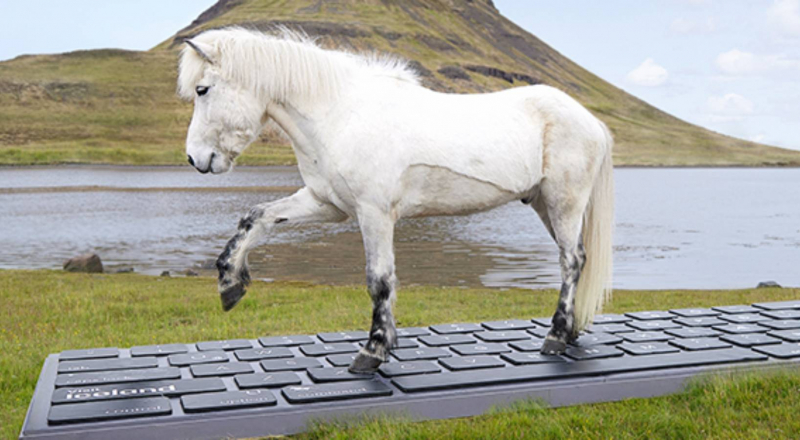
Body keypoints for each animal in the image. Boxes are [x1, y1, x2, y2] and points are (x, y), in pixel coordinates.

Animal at [178, 28, 614, 373]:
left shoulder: (374, 214)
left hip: (564, 202)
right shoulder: (326, 205)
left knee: (571, 261)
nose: (195, 159)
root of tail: (591, 120)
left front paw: (373, 350)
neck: (340, 115)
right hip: (543, 204)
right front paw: (230, 283)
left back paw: (556, 336)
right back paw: (570, 331)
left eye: (202, 89)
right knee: (577, 257)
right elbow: (256, 217)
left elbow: (379, 280)